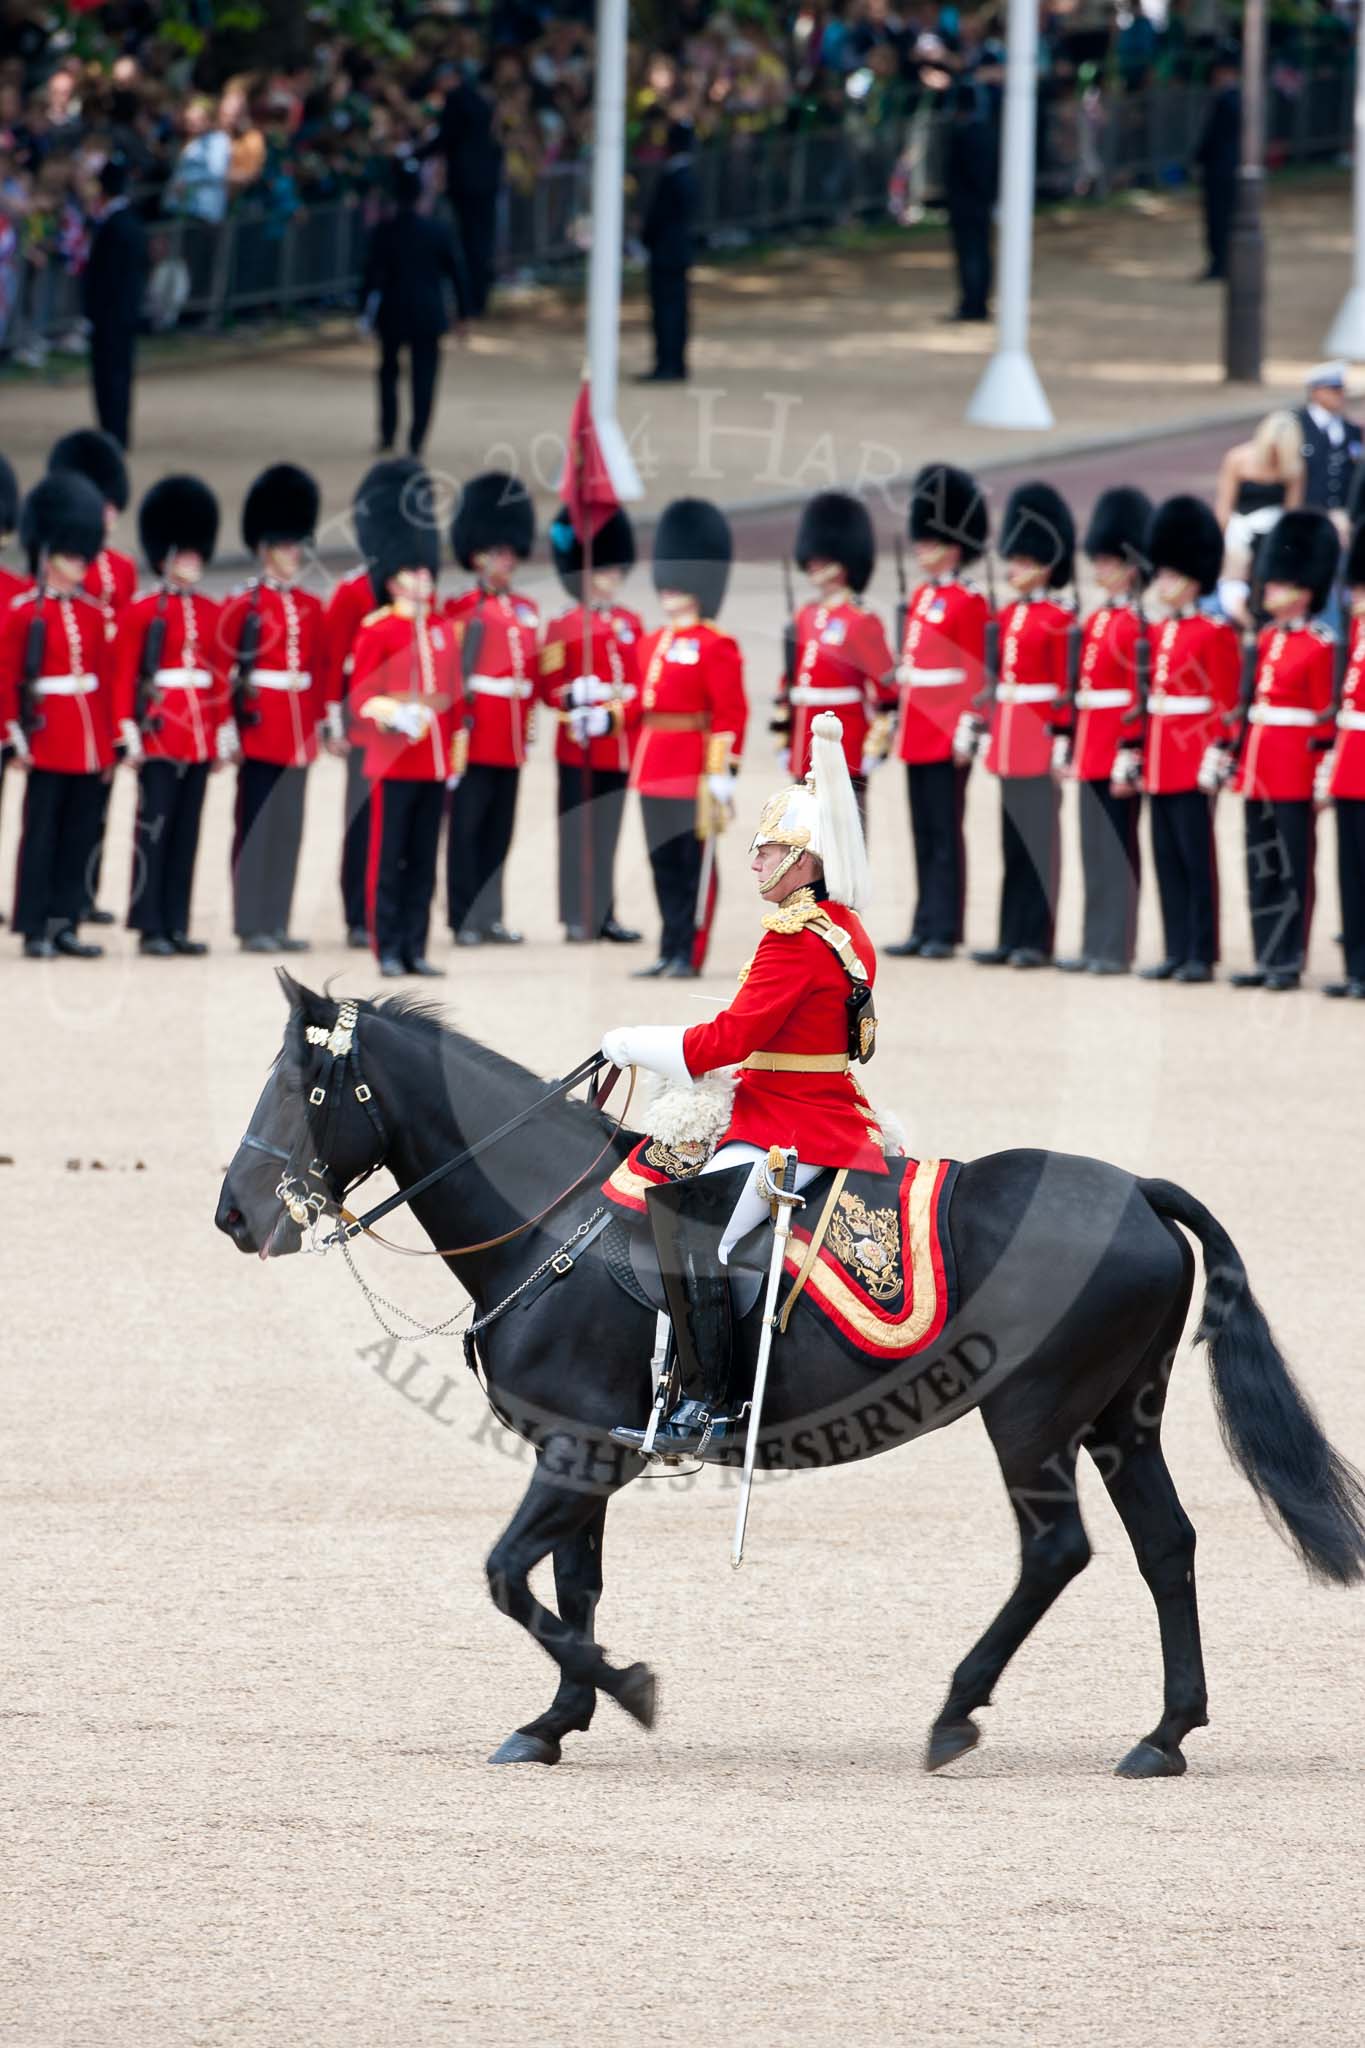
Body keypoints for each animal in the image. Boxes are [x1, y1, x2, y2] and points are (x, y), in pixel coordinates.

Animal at [213, 983, 1365, 1769]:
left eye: (303, 1086)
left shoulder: (576, 1451)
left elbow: (506, 1575)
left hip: (1032, 1418)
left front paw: (625, 1688)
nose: (235, 1212)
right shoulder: (584, 1451)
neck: (545, 1212)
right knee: (1165, 1546)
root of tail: (1134, 1188)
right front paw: (558, 1718)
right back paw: (1164, 1732)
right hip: (1122, 1417)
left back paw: (957, 1711)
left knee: (1057, 1550)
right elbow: (571, 1584)